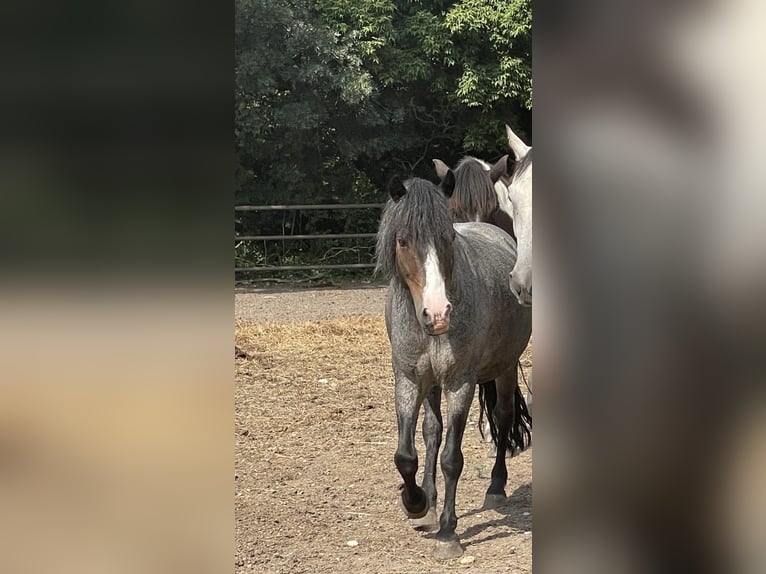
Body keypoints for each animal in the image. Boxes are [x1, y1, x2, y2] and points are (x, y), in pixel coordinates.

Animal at [376, 176, 532, 564]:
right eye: (403, 240)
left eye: (448, 237)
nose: (438, 313)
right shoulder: (408, 380)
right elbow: (407, 454)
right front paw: (416, 503)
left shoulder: (460, 384)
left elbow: (451, 459)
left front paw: (448, 532)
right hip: (431, 384)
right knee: (432, 431)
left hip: (504, 369)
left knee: (503, 418)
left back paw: (495, 487)